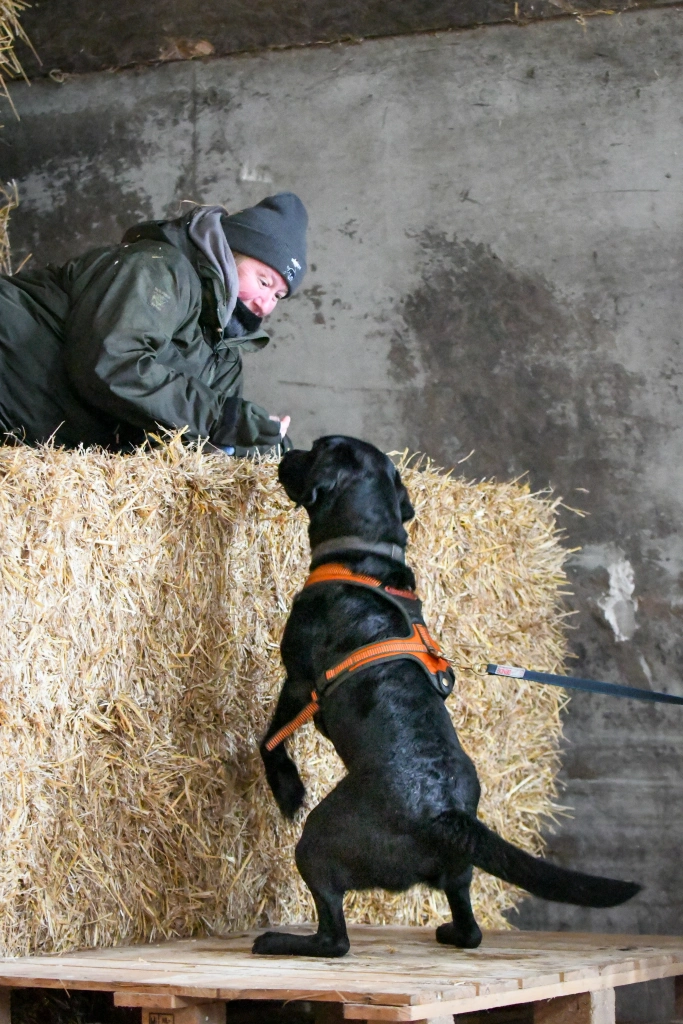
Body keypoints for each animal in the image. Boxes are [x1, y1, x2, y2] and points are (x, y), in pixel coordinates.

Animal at [250, 436, 643, 954]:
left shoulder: (296, 680)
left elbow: (270, 741)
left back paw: (280, 941)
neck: (364, 557)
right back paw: (451, 931)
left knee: (336, 937)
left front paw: (288, 790)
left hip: (317, 844)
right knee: (470, 924)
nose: (288, 451)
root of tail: (444, 815)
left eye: (316, 450)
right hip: (458, 874)